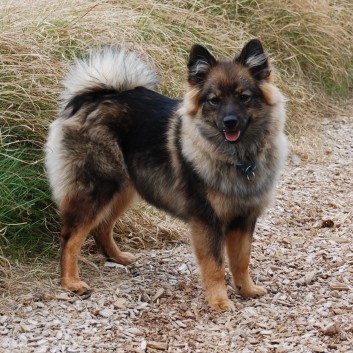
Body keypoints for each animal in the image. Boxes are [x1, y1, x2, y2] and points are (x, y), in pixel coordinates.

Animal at [44, 38, 286, 308]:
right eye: (214, 100)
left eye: (244, 97)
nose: (230, 122)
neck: (237, 159)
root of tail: (91, 98)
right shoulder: (207, 220)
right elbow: (215, 265)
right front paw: (219, 302)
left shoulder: (244, 219)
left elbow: (241, 261)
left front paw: (247, 290)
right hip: (97, 189)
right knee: (70, 236)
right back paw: (71, 282)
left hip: (125, 189)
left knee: (102, 227)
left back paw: (118, 258)